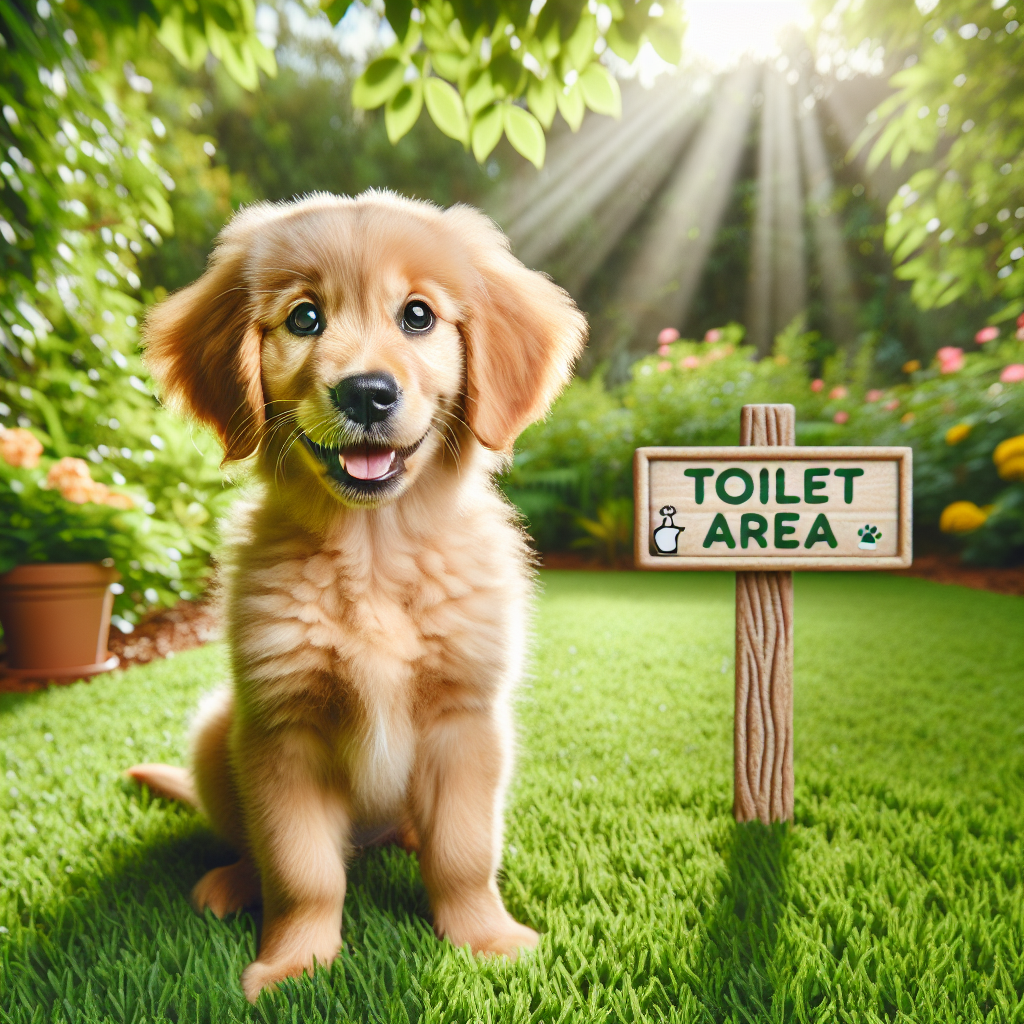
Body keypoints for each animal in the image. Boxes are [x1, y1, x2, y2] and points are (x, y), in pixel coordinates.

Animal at [122, 190, 585, 999]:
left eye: (418, 316)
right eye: (305, 318)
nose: (367, 393)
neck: (374, 554)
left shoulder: (466, 722)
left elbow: (464, 855)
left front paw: (485, 938)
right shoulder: (281, 730)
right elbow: (303, 871)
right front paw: (294, 963)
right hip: (218, 731)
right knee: (261, 846)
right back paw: (233, 881)